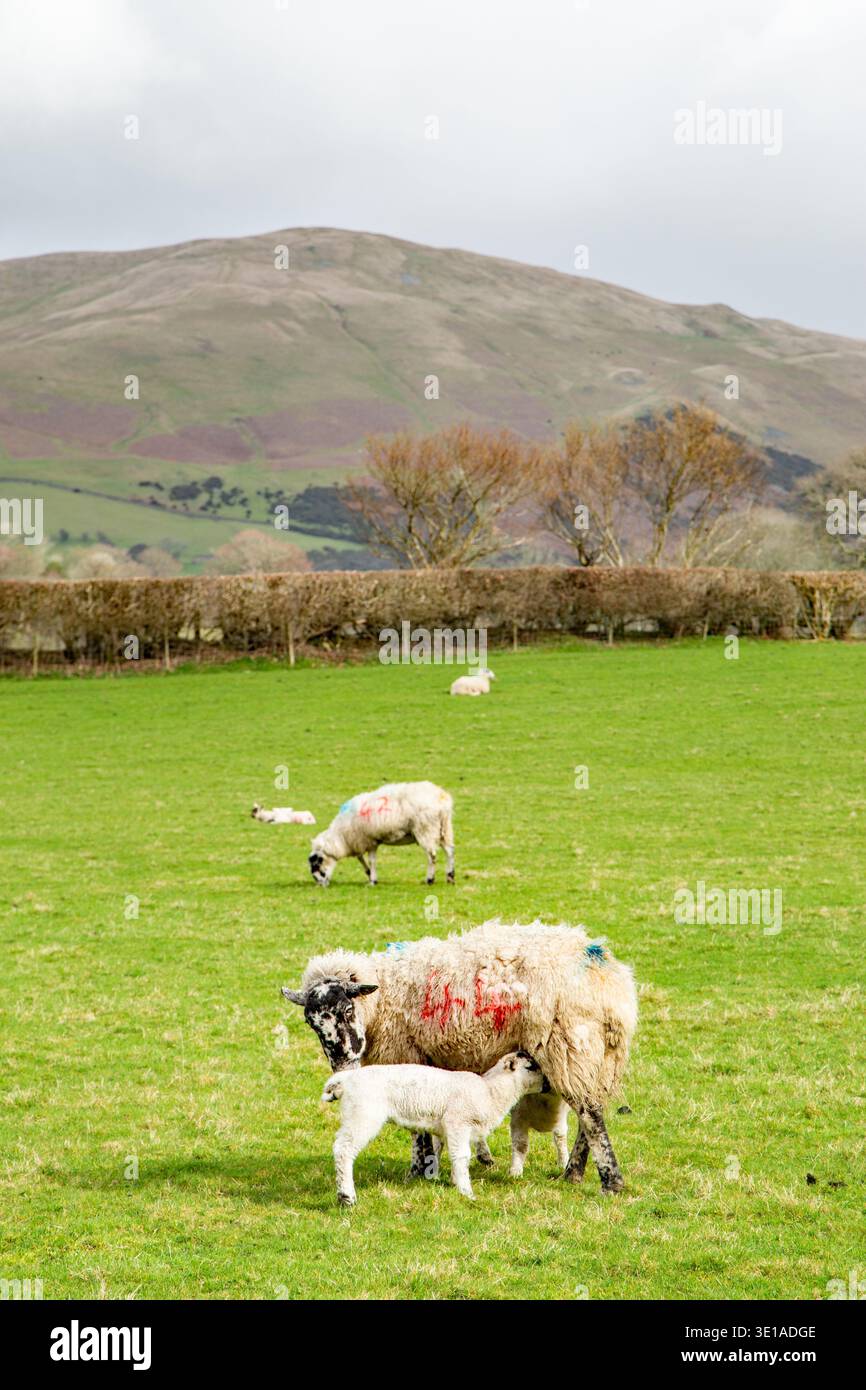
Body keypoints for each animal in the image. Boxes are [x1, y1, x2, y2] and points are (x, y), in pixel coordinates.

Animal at [307, 781, 454, 887]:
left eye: (317, 865)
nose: (321, 885)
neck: (341, 836)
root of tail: (442, 798)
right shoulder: (360, 841)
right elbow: (361, 859)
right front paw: (369, 875)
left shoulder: (369, 840)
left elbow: (371, 861)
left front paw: (372, 881)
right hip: (444, 829)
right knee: (449, 851)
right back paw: (450, 877)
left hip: (426, 829)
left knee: (432, 856)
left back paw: (430, 879)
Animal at [322, 1052, 545, 1204]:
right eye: (530, 1067)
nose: (547, 1084)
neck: (491, 1092)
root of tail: (346, 1079)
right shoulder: (458, 1122)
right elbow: (461, 1155)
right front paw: (466, 1192)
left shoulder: (450, 1130)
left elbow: (451, 1152)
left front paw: (454, 1182)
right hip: (363, 1114)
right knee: (343, 1150)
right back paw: (347, 1197)